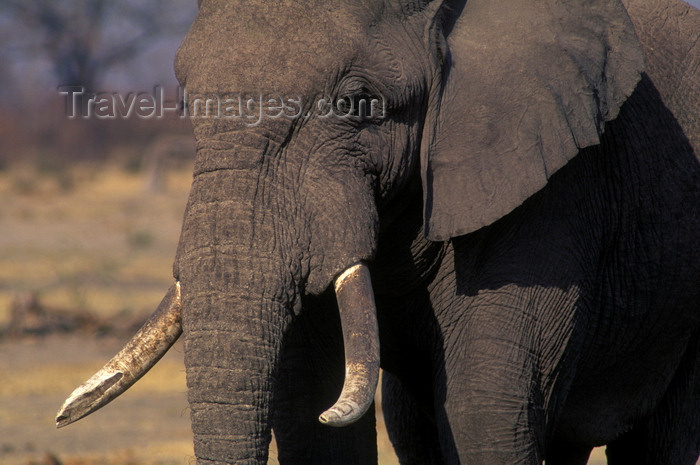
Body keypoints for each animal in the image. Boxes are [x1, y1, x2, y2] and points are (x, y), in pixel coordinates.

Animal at [56, 0, 700, 462]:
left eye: (357, 104)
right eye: (189, 101)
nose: (61, 416)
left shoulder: (550, 185)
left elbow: (485, 407)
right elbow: (307, 410)